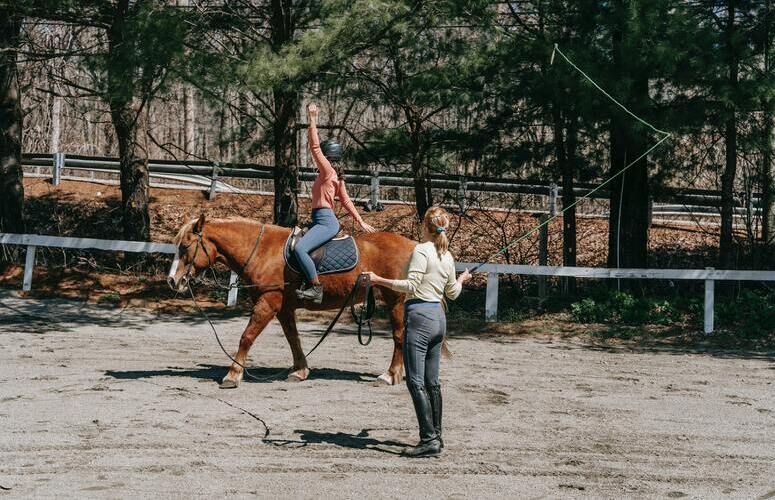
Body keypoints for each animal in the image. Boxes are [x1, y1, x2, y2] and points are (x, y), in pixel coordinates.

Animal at [167, 213, 416, 388]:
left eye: (185, 247)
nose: (172, 280)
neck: (263, 251)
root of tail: (412, 245)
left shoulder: (268, 303)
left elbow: (246, 337)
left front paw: (233, 375)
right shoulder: (284, 308)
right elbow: (293, 339)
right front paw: (300, 370)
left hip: (395, 299)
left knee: (399, 335)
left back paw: (390, 374)